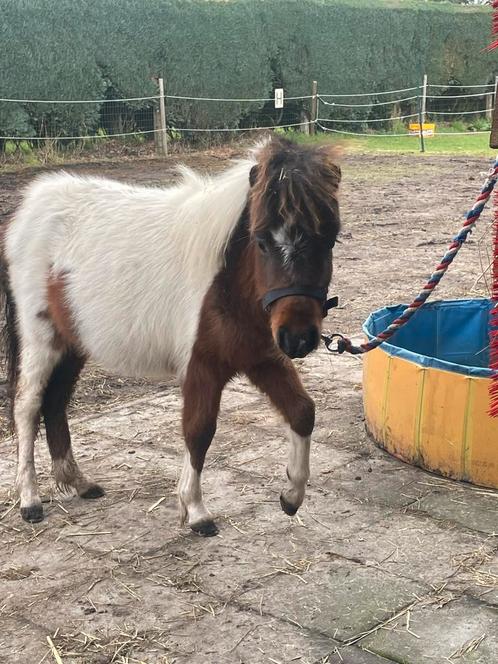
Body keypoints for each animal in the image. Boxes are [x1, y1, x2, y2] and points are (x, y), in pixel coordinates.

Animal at [0, 137, 340, 536]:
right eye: (261, 240)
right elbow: (199, 432)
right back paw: (30, 499)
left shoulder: (261, 358)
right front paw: (195, 510)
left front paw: (292, 495)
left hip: (72, 344)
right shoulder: (201, 368)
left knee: (55, 403)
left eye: (330, 239)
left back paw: (78, 483)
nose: (298, 338)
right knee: (27, 407)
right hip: (41, 340)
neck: (225, 283)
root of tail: (25, 210)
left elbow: (302, 411)